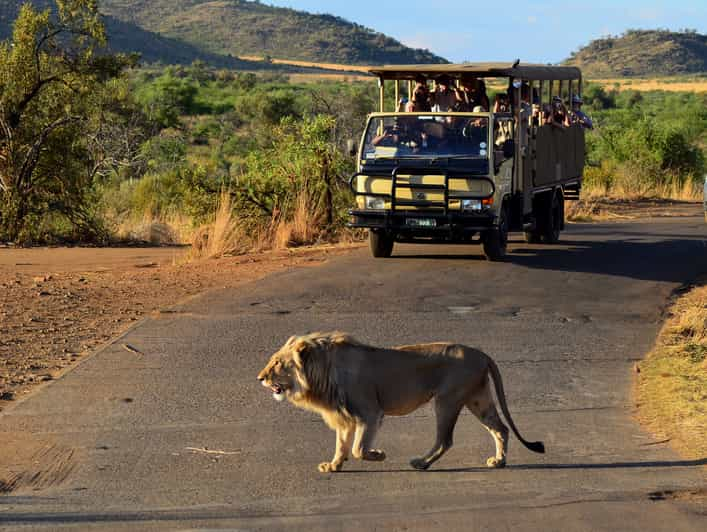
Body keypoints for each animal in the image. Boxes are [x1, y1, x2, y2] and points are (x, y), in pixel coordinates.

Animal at [258, 330, 544, 472]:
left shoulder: (370, 412)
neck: (322, 372)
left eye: (277, 363)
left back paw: (422, 463)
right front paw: (333, 466)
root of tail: (483, 354)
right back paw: (499, 461)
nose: (260, 378)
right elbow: (341, 445)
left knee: (445, 440)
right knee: (501, 429)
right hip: (478, 399)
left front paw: (378, 455)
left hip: (447, 400)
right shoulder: (343, 416)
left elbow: (358, 448)